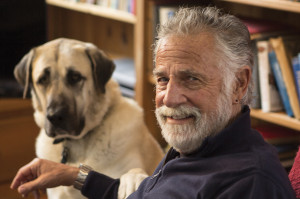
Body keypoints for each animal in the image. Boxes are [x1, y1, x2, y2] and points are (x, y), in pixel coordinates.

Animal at [13, 38, 164, 198]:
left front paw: (133, 181)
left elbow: (133, 172)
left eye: (75, 77)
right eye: (43, 79)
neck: (78, 143)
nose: (55, 116)